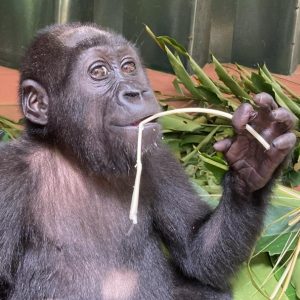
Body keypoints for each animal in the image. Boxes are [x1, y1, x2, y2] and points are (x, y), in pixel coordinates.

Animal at [0, 23, 296, 300]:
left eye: (129, 67)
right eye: (99, 72)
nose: (135, 92)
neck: (80, 161)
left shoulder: (158, 159)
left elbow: (199, 255)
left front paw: (253, 157)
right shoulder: (9, 176)